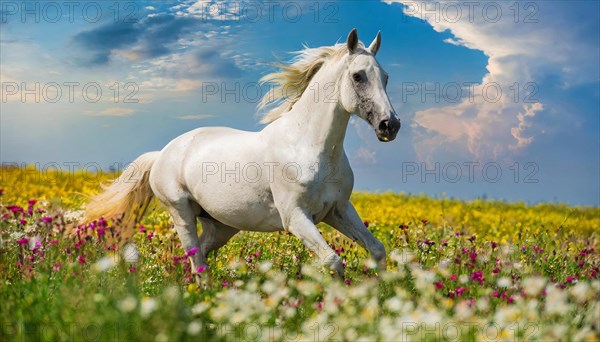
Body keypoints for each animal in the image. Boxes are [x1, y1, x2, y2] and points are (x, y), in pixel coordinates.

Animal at [84, 29, 400, 280]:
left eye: (385, 77)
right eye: (358, 76)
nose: (390, 125)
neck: (309, 148)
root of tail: (162, 153)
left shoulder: (338, 210)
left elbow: (377, 250)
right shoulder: (295, 216)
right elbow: (333, 261)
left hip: (221, 226)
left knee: (195, 258)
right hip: (180, 212)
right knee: (196, 259)